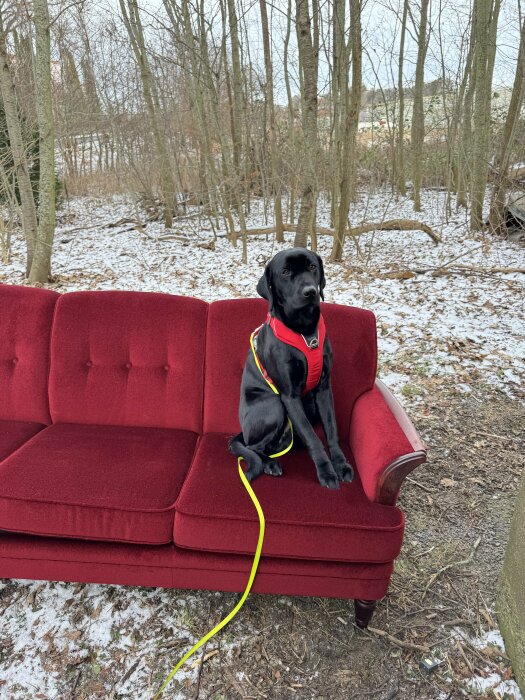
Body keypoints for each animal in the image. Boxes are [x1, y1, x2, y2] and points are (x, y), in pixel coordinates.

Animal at [228, 249, 352, 490]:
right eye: (285, 272)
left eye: (312, 266)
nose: (310, 292)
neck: (305, 331)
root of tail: (243, 432)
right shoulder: (289, 396)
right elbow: (314, 439)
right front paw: (326, 471)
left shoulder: (323, 390)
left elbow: (331, 431)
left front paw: (341, 465)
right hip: (274, 407)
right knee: (253, 448)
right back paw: (269, 464)